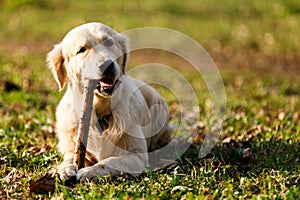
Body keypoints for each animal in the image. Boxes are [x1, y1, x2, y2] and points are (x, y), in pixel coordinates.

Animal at [47, 22, 172, 181]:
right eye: (82, 50)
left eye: (108, 42)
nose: (106, 65)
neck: (100, 110)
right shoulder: (72, 145)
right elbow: (70, 157)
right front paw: (65, 168)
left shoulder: (136, 156)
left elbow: (109, 161)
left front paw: (90, 171)